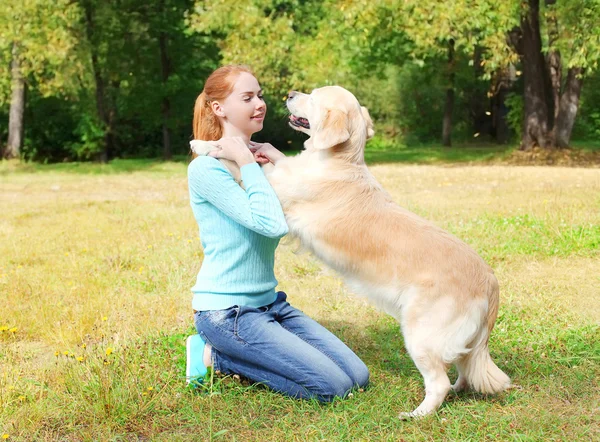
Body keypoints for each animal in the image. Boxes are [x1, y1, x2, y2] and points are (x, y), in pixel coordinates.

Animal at [268, 85, 510, 418]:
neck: (339, 160)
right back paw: (459, 390)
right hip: (460, 342)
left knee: (439, 383)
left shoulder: (278, 195)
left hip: (420, 335)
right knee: (461, 368)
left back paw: (416, 415)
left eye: (313, 97)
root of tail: (489, 279)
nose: (290, 93)